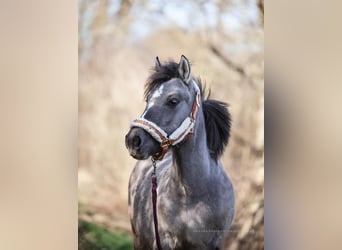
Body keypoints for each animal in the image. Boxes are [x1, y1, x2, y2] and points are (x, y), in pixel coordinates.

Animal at [125, 55, 235, 250]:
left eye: (173, 101)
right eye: (147, 100)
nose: (133, 140)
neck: (192, 195)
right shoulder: (163, 241)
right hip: (139, 238)